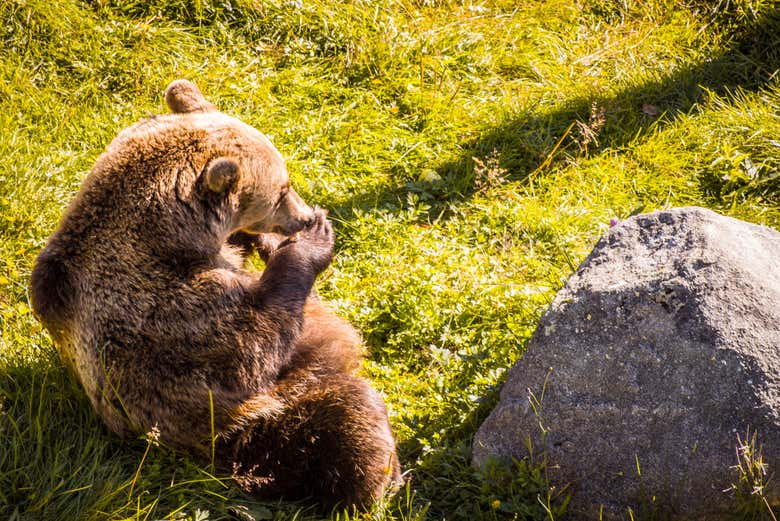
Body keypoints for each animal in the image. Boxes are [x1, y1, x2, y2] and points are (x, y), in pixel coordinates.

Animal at [30, 79, 401, 509]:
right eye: (283, 189)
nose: (305, 216)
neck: (172, 238)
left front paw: (274, 242)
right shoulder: (164, 310)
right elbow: (251, 346)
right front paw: (312, 242)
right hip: (255, 430)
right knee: (347, 416)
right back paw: (379, 481)